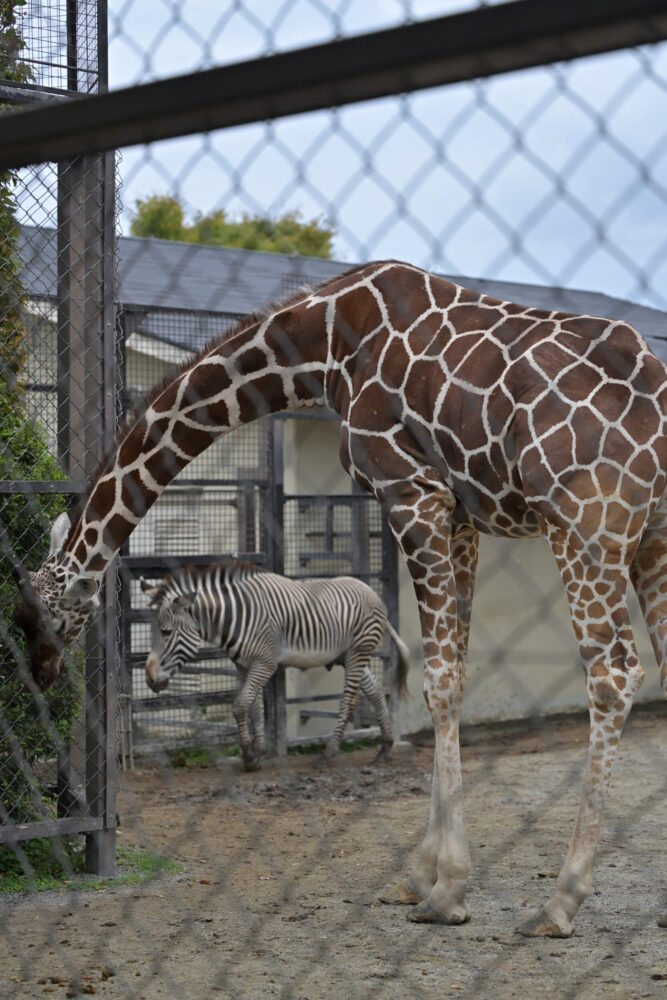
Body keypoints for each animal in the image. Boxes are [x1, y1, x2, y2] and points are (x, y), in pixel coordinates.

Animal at [141, 564, 412, 772]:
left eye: (165, 632)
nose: (150, 679)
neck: (235, 617)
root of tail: (372, 593)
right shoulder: (244, 665)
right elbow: (255, 709)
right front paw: (258, 751)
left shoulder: (265, 662)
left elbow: (239, 706)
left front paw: (249, 756)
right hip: (348, 655)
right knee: (376, 692)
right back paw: (385, 747)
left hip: (358, 651)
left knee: (349, 701)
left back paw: (329, 753)